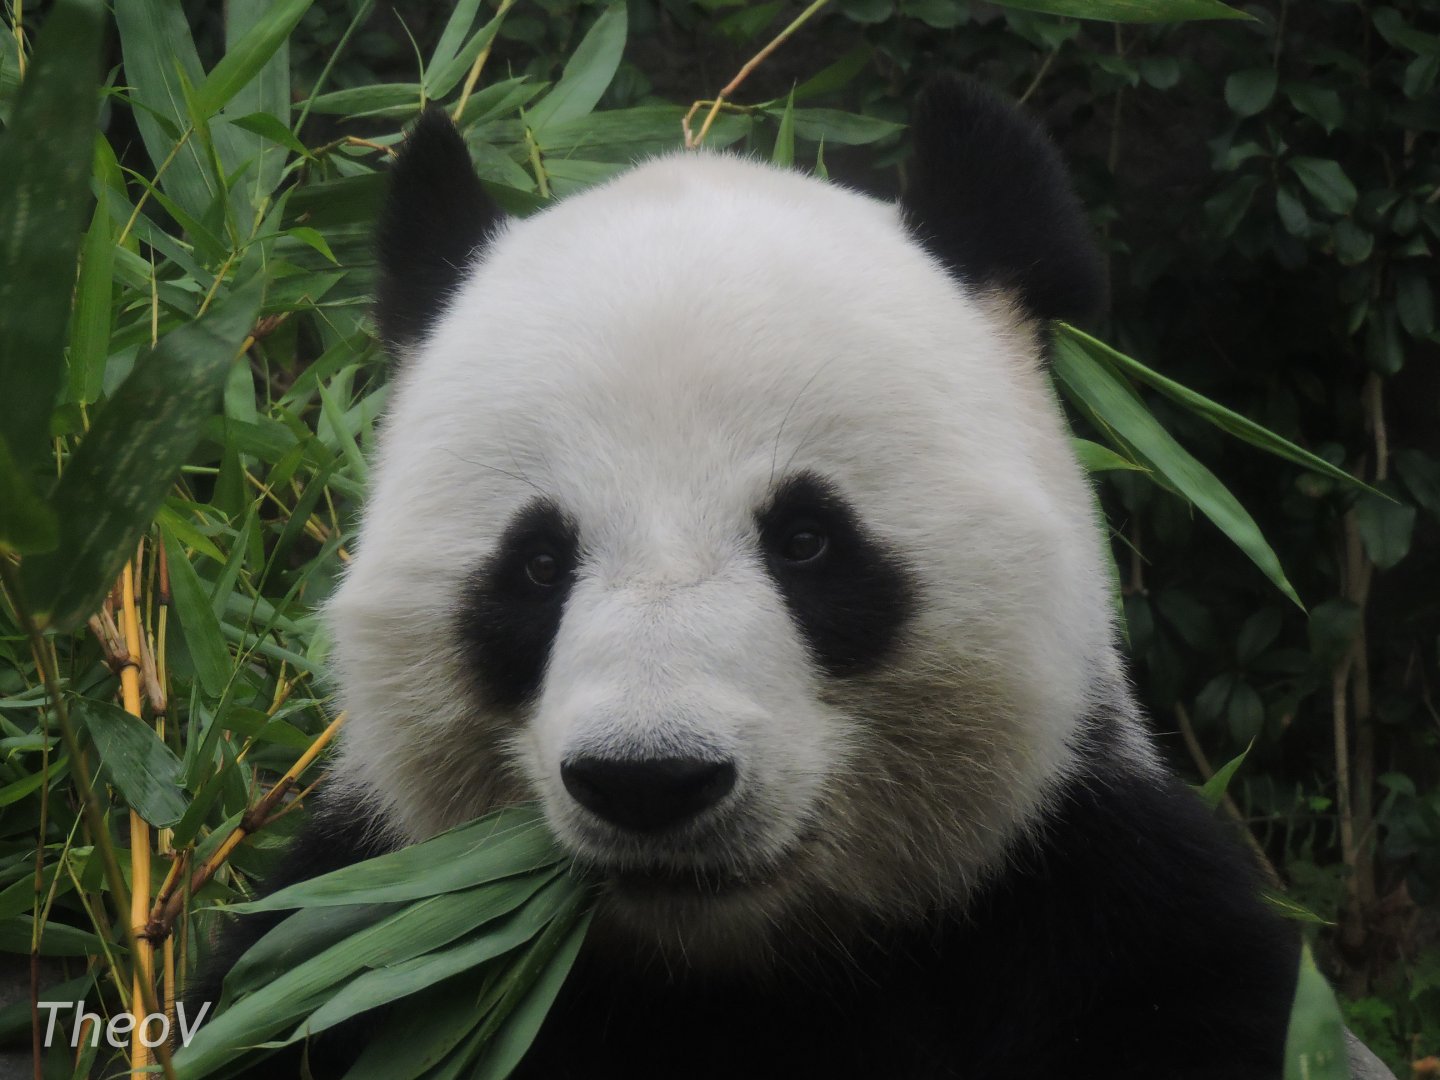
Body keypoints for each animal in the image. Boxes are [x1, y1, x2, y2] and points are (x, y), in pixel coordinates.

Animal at [199, 76, 1303, 1078]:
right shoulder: (354, 942)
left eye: (807, 540)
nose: (649, 780)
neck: (736, 970)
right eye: (539, 563)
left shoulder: (1101, 914)